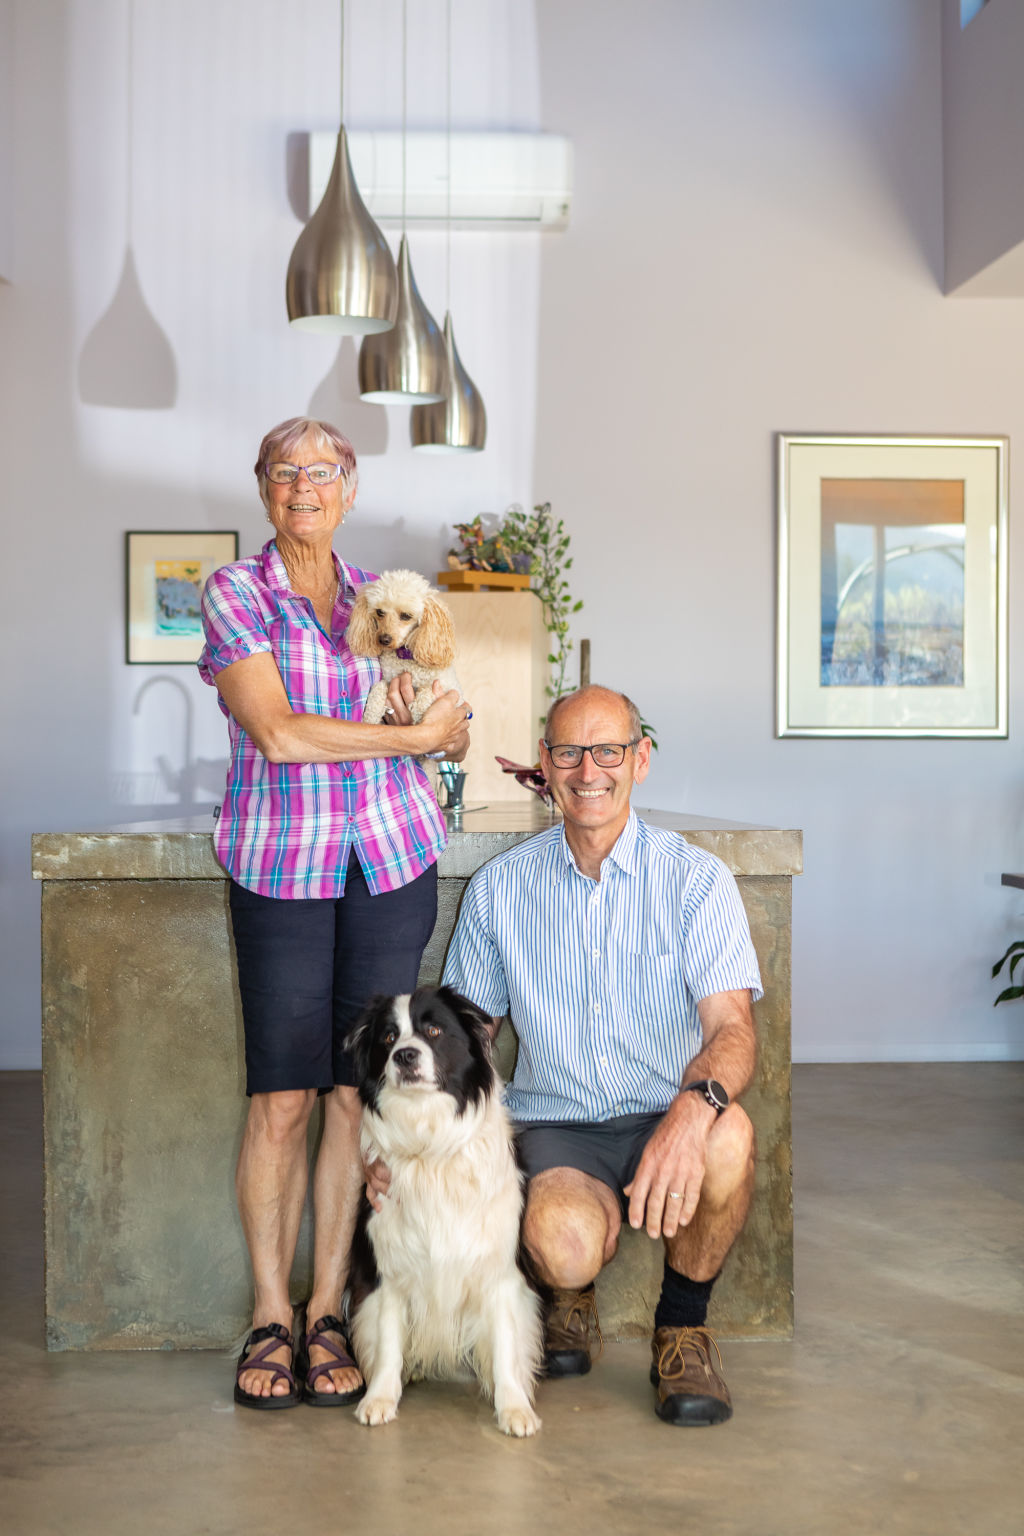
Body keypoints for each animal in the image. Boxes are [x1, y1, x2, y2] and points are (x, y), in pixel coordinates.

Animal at [346, 989, 543, 1431]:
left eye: (433, 1031)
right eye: (388, 1037)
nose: (404, 1055)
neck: (428, 1149)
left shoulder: (499, 1271)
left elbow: (506, 1345)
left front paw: (514, 1408)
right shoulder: (389, 1272)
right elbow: (387, 1341)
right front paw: (380, 1398)